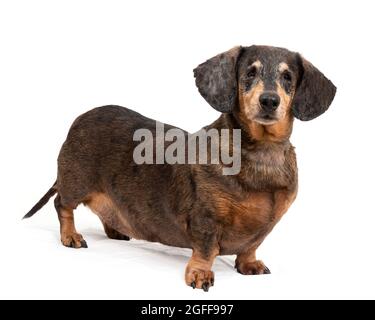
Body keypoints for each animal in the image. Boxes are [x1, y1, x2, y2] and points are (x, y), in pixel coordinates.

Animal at [25, 45, 336, 292]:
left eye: (288, 77)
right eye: (249, 73)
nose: (270, 101)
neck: (261, 153)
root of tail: (79, 119)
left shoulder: (265, 226)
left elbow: (251, 246)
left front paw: (250, 265)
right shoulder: (205, 219)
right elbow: (207, 249)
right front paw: (200, 274)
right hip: (75, 182)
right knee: (62, 205)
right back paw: (71, 236)